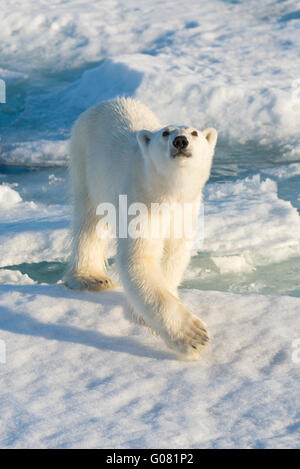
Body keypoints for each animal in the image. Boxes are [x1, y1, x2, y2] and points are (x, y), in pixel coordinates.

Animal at [65, 96, 216, 358]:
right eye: (165, 132)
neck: (166, 193)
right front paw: (193, 335)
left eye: (194, 132)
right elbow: (139, 259)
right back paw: (90, 277)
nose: (180, 141)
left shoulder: (185, 212)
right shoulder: (140, 204)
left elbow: (173, 254)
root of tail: (105, 102)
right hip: (83, 157)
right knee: (89, 219)